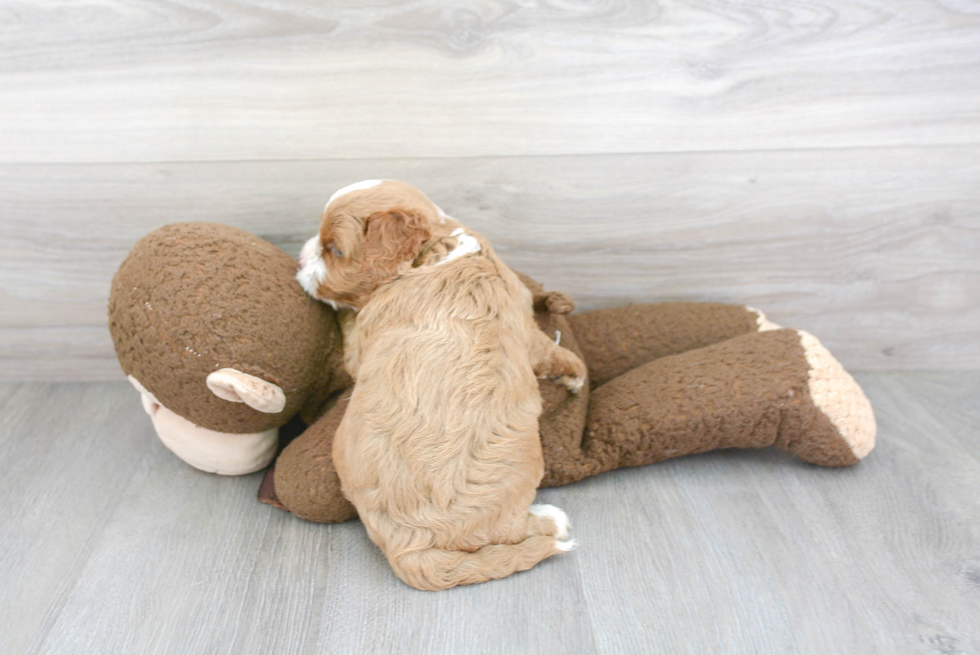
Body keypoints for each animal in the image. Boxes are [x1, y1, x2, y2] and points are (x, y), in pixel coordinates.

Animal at [296, 182, 588, 592]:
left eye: (335, 250)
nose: (299, 261)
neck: (438, 247)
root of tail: (409, 545)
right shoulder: (521, 316)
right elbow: (545, 346)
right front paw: (573, 372)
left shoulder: (363, 337)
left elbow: (349, 324)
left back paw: (552, 520)